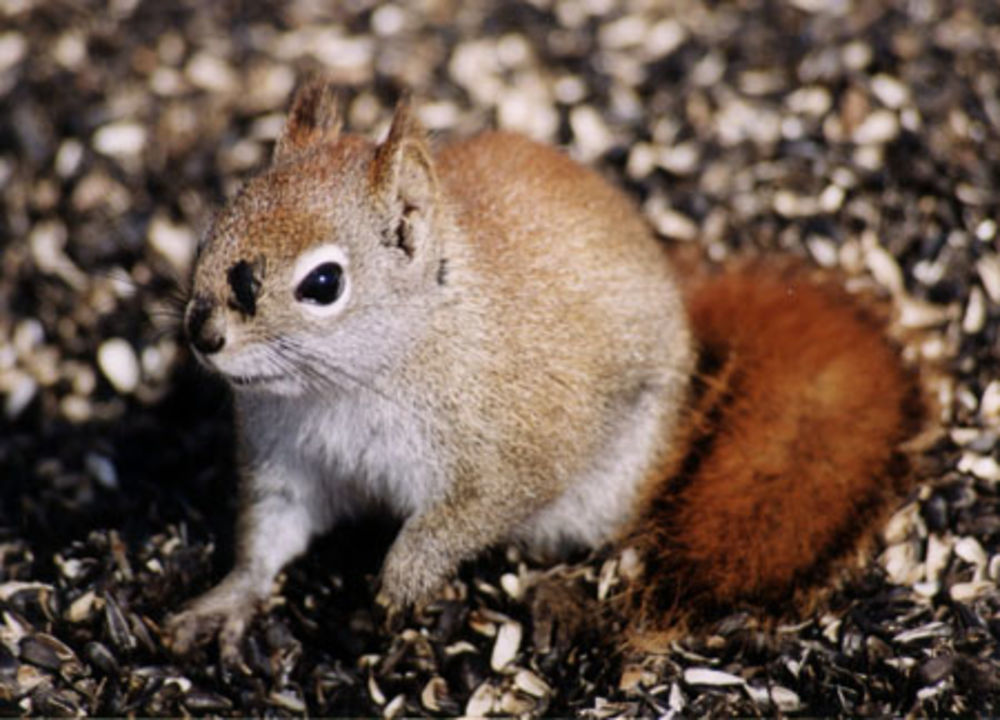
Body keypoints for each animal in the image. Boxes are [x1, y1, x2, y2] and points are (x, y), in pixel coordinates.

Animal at [164, 80, 920, 660]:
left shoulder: (514, 446)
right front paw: (227, 600)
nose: (203, 334)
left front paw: (405, 577)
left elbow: (472, 513)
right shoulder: (285, 458)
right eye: (209, 234)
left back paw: (553, 594)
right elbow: (270, 534)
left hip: (600, 492)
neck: (351, 383)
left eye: (323, 284)